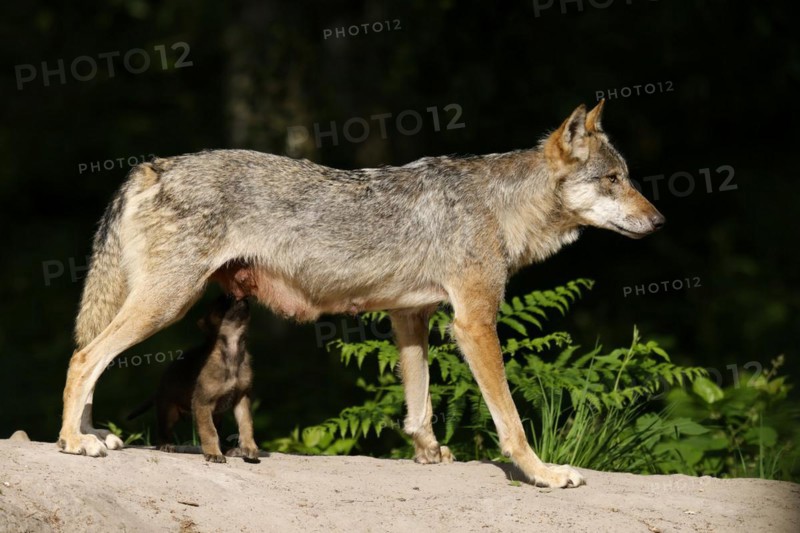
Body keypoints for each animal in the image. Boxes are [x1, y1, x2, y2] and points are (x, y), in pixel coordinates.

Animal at [127, 295, 260, 463]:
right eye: (221, 302)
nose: (239, 296)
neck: (232, 350)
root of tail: (160, 386)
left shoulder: (241, 398)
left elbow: (246, 424)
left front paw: (249, 447)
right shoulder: (202, 403)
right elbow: (209, 431)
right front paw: (213, 453)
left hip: (217, 416)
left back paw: (229, 449)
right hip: (169, 412)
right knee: (163, 432)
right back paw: (166, 445)